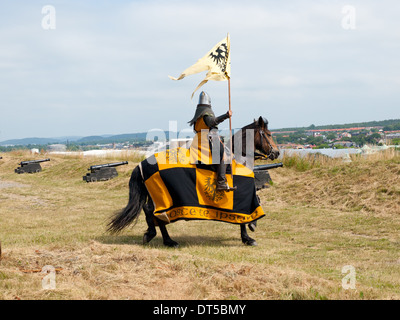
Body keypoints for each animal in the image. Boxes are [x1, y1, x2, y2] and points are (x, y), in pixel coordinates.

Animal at [108, 117, 280, 248]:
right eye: (268, 134)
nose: (277, 152)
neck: (238, 158)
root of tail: (141, 164)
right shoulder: (241, 194)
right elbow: (248, 211)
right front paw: (248, 236)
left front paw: (251, 228)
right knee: (153, 211)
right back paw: (164, 239)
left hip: (155, 193)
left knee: (151, 211)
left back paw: (160, 237)